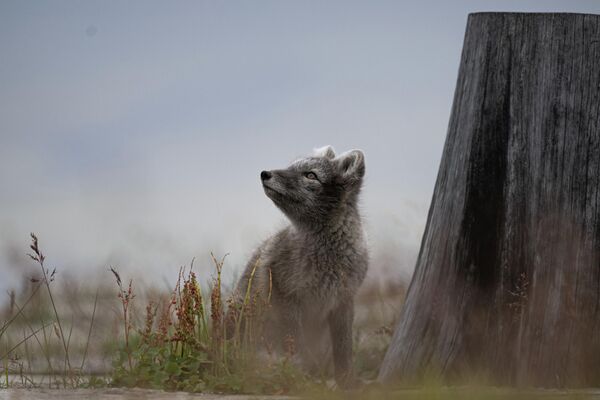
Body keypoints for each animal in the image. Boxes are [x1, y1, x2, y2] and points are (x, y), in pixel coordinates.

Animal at [231, 146, 368, 388]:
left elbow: (344, 350)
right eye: (291, 167)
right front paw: (303, 377)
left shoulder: (343, 301)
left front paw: (346, 384)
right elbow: (296, 343)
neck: (328, 259)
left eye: (310, 175)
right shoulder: (286, 296)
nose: (265, 173)